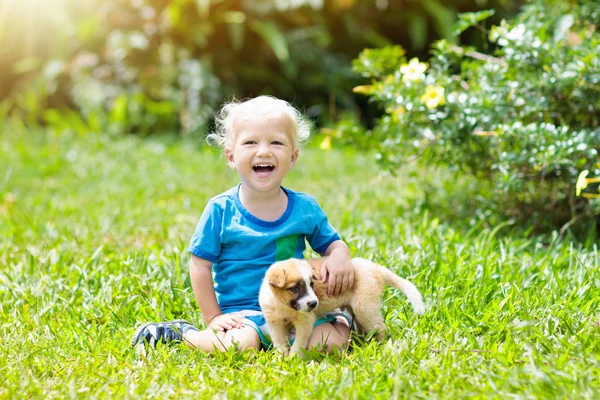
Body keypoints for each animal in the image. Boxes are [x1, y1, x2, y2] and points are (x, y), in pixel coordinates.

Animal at [255, 260, 424, 356]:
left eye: (312, 285)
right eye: (295, 288)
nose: (314, 304)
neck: (283, 306)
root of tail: (375, 268)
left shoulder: (305, 323)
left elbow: (298, 345)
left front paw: (292, 361)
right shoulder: (275, 324)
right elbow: (280, 345)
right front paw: (281, 360)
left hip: (364, 308)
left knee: (380, 328)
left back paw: (379, 346)